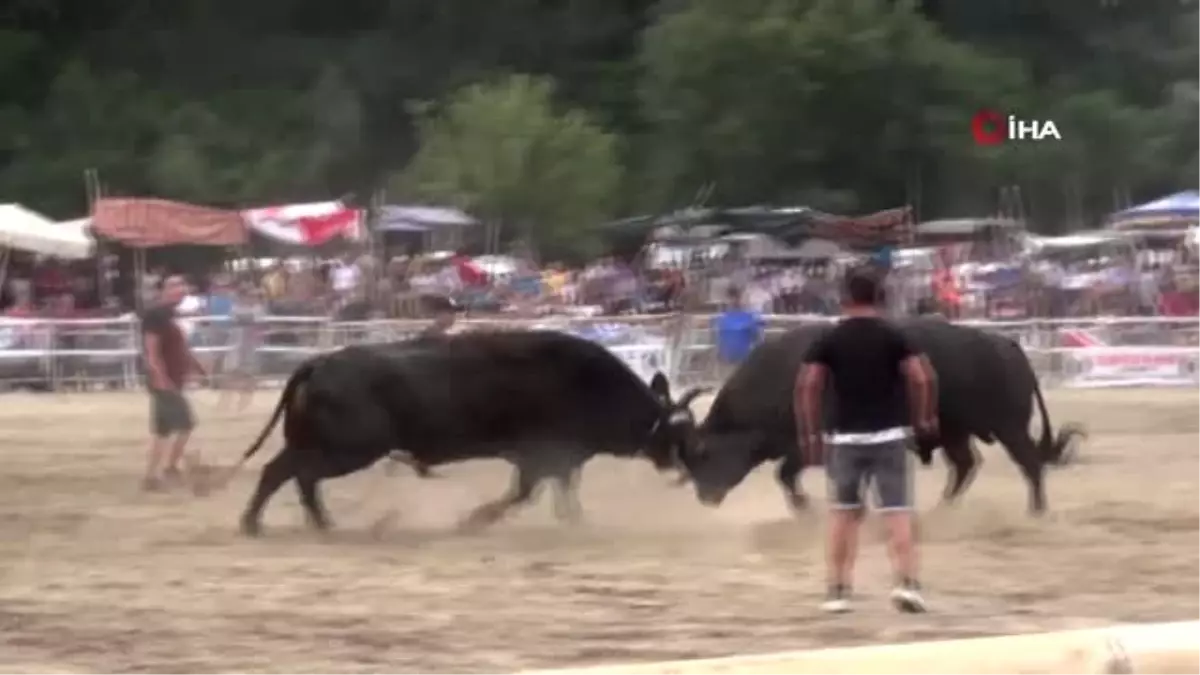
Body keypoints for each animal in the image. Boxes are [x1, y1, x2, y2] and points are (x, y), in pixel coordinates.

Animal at [229, 331, 705, 535]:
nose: (687, 474)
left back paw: (313, 522)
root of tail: (319, 363)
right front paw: (474, 519)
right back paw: (258, 522)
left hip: (318, 444)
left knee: (293, 475)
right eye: (679, 436)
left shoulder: (559, 459)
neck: (586, 382)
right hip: (346, 449)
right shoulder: (540, 457)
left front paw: (575, 519)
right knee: (287, 473)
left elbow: (561, 490)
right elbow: (522, 493)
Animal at [676, 317, 1089, 511]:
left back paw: (1036, 512)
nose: (705, 495)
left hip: (1009, 427)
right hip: (955, 431)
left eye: (703, 452)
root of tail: (1007, 345)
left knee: (1029, 464)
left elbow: (787, 476)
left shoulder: (812, 445)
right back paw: (942, 511)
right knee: (965, 466)